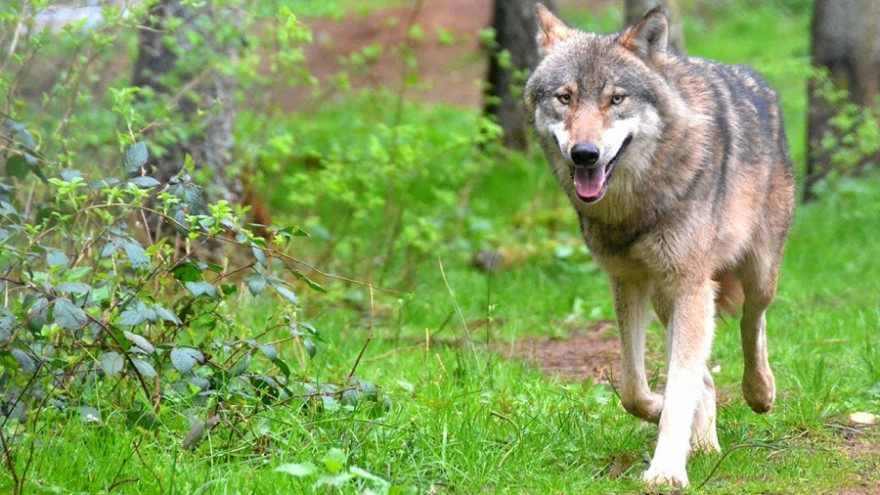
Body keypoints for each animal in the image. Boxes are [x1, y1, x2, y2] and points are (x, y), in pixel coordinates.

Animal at [524, 5, 800, 490]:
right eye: (564, 98)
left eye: (617, 99)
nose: (584, 154)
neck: (636, 206)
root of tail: (758, 82)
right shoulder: (627, 281)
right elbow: (636, 389)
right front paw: (662, 417)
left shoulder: (691, 284)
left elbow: (678, 384)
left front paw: (666, 469)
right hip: (665, 299)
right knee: (705, 376)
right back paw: (704, 443)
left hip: (754, 275)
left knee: (754, 321)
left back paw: (760, 392)